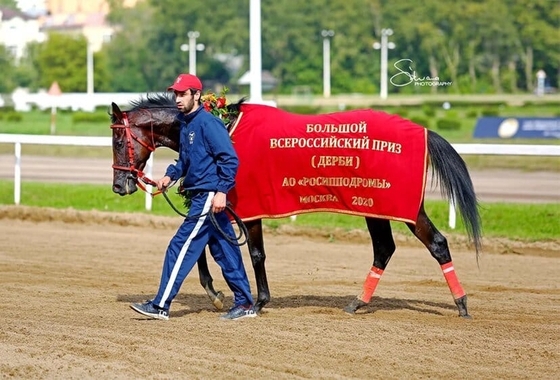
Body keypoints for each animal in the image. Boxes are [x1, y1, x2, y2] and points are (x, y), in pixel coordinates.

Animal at [110, 92, 482, 318]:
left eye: (116, 138)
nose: (118, 185)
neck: (224, 125)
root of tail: (422, 131)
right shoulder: (222, 204)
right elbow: (201, 243)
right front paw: (216, 292)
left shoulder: (246, 207)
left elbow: (253, 253)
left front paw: (257, 301)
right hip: (375, 207)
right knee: (390, 248)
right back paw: (361, 302)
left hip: (395, 206)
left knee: (430, 243)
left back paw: (460, 304)